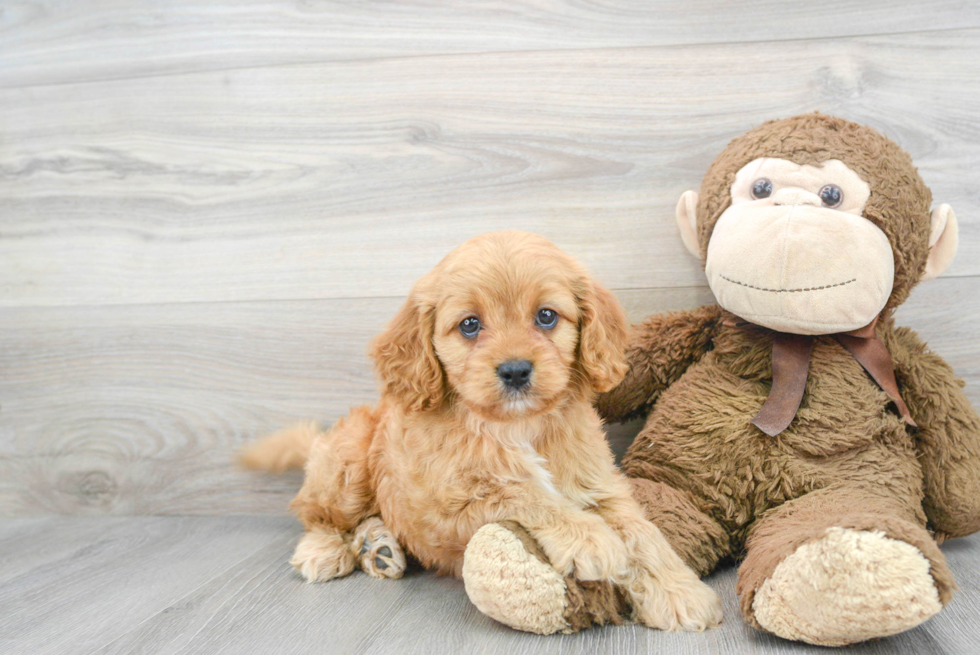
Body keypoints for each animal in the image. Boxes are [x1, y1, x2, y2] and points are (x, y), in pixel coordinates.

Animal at [242, 232, 724, 636]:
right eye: (470, 325)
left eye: (546, 316)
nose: (515, 370)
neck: (518, 426)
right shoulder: (448, 503)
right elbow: (520, 491)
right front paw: (588, 536)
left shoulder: (601, 483)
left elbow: (642, 532)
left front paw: (679, 592)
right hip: (347, 462)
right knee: (315, 512)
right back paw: (325, 550)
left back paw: (377, 546)